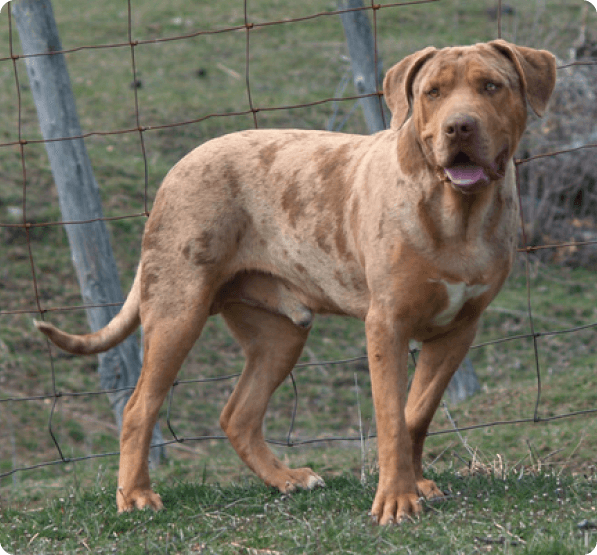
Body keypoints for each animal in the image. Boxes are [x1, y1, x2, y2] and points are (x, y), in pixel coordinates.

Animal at [35, 40, 556, 524]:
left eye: (491, 86)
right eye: (434, 92)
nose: (459, 126)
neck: (458, 215)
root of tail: (180, 164)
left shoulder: (458, 330)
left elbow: (416, 413)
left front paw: (416, 483)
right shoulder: (386, 325)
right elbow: (391, 418)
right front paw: (396, 499)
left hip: (279, 335)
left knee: (237, 415)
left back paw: (284, 478)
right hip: (177, 313)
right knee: (139, 407)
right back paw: (136, 495)